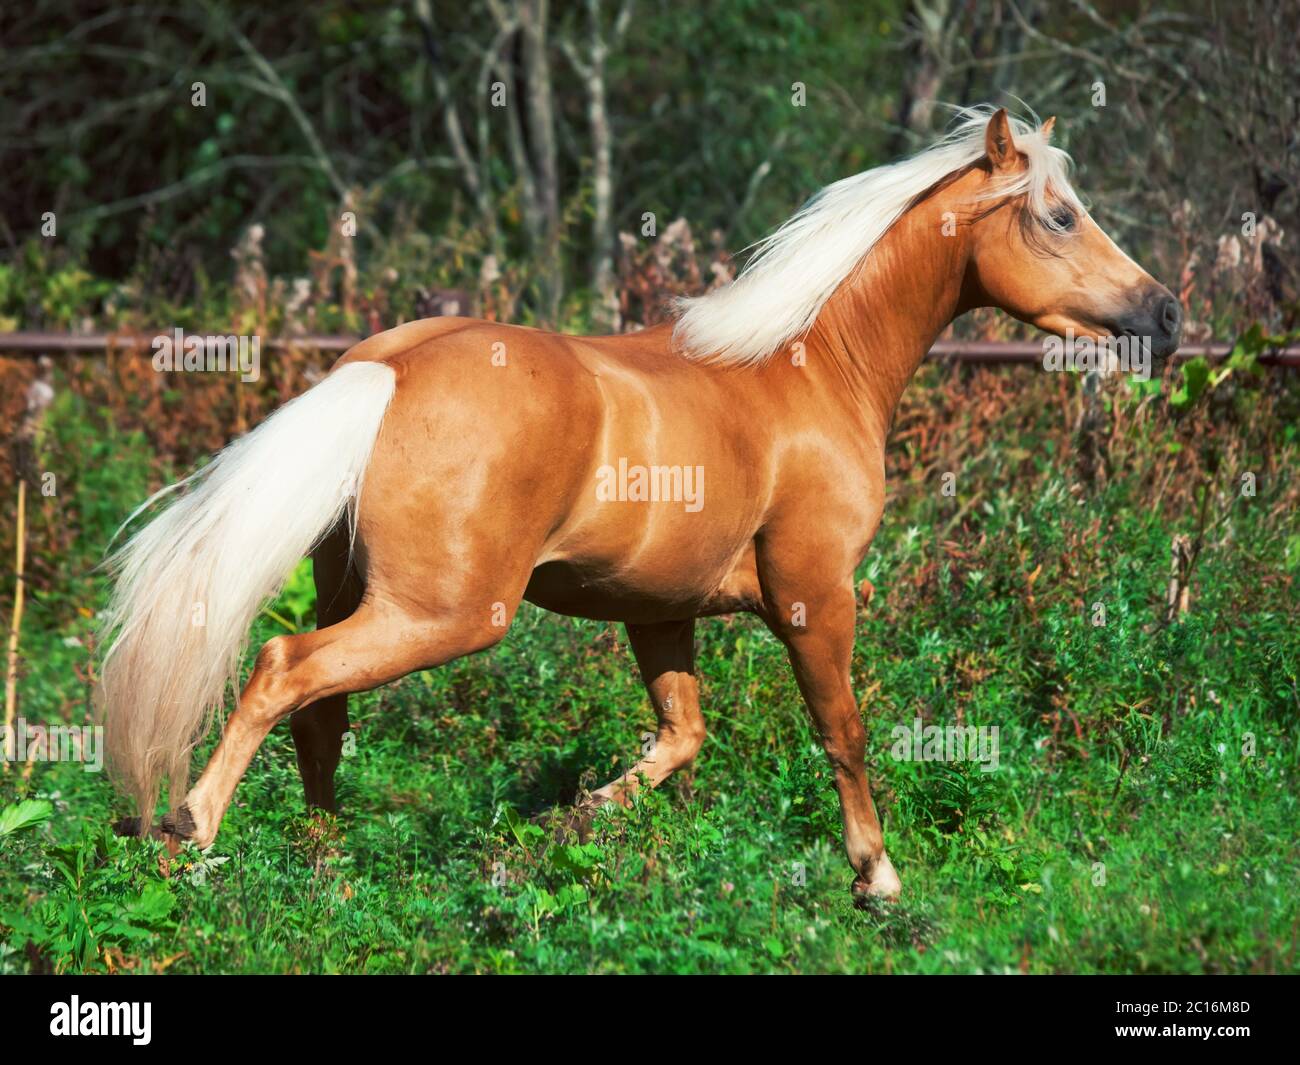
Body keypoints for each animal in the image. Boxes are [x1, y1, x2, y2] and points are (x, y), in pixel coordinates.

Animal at [101, 112, 1180, 905]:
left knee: (320, 715)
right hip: (443, 614)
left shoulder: (659, 612)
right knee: (283, 671)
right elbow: (843, 730)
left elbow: (679, 736)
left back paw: (327, 871)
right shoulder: (814, 595)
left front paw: (567, 826)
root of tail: (386, 369)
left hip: (368, 599)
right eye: (1059, 216)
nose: (1164, 314)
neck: (813, 369)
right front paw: (877, 878)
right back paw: (189, 838)